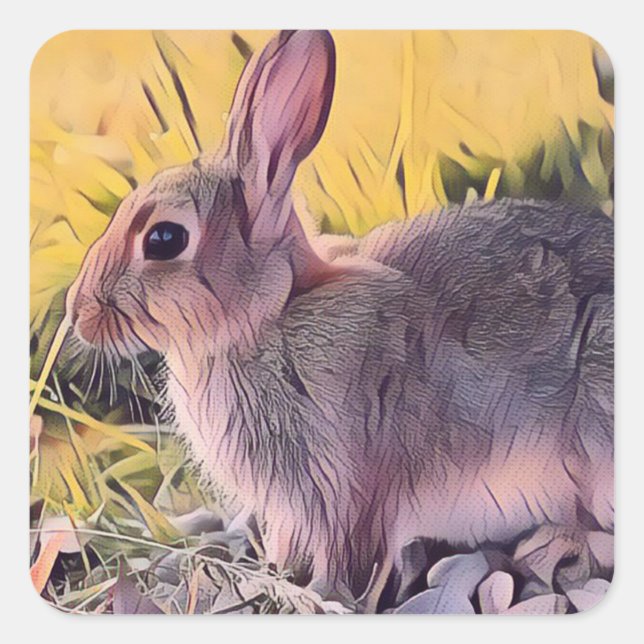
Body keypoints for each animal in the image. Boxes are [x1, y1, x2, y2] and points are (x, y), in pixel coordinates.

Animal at [65, 30, 613, 611]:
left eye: (164, 239)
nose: (78, 313)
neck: (270, 315)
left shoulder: (342, 487)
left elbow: (343, 553)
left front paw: (315, 594)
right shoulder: (294, 506)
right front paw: (276, 573)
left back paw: (553, 548)